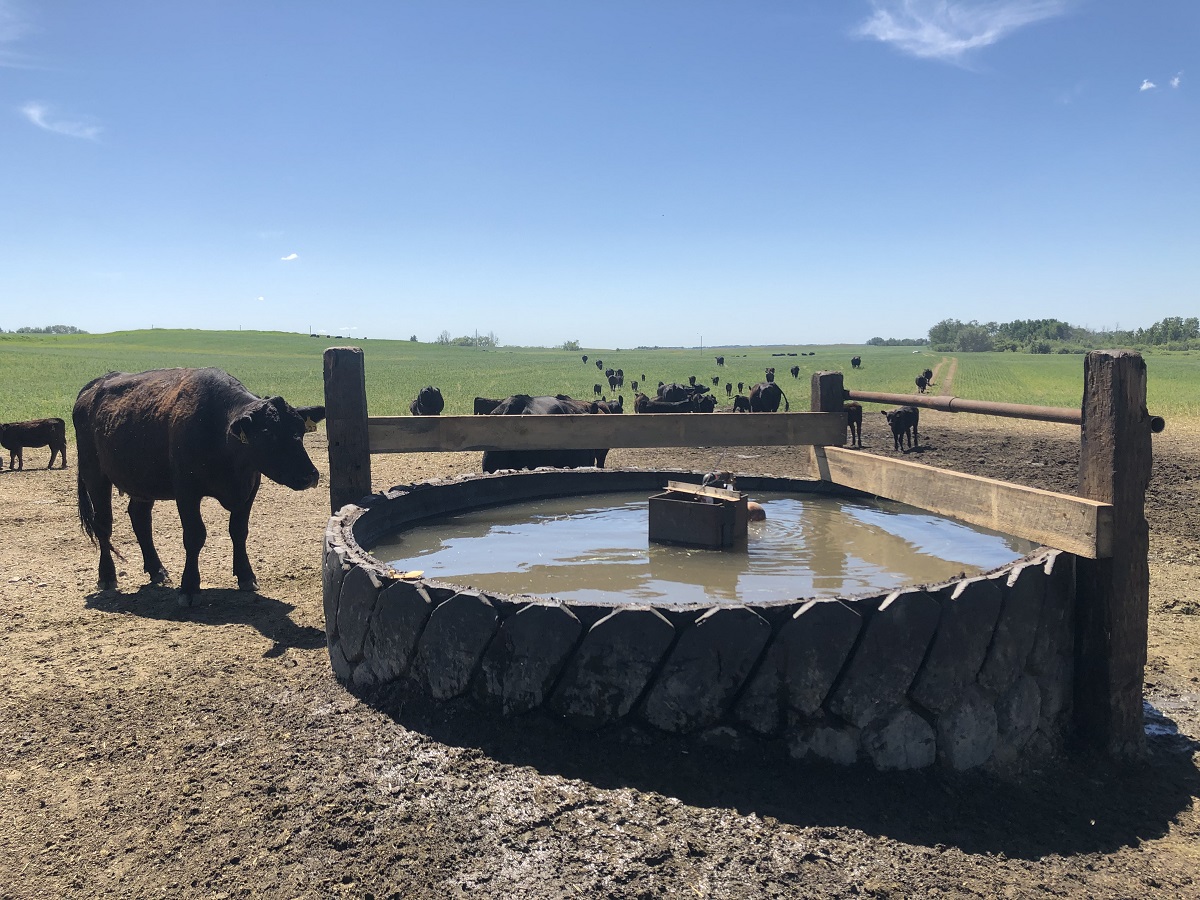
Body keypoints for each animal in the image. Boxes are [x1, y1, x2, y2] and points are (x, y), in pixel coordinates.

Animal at [73, 367, 325, 605]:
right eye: (268, 434)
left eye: (300, 430)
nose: (310, 475)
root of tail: (93, 386)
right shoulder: (187, 491)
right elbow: (194, 536)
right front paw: (190, 588)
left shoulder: (250, 486)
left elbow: (239, 531)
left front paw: (246, 576)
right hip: (94, 474)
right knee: (103, 524)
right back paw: (107, 576)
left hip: (142, 481)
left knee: (140, 519)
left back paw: (157, 570)